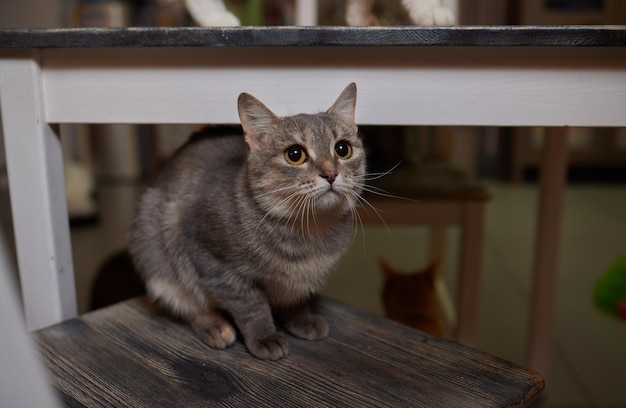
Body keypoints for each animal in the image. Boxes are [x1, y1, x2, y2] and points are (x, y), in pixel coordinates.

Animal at [129, 83, 364, 360]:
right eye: (295, 154)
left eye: (342, 149)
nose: (330, 173)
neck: (309, 230)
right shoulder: (212, 262)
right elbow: (251, 305)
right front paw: (264, 337)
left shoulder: (300, 282)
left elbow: (296, 298)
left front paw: (302, 318)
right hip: (155, 253)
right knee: (189, 306)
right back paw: (215, 326)